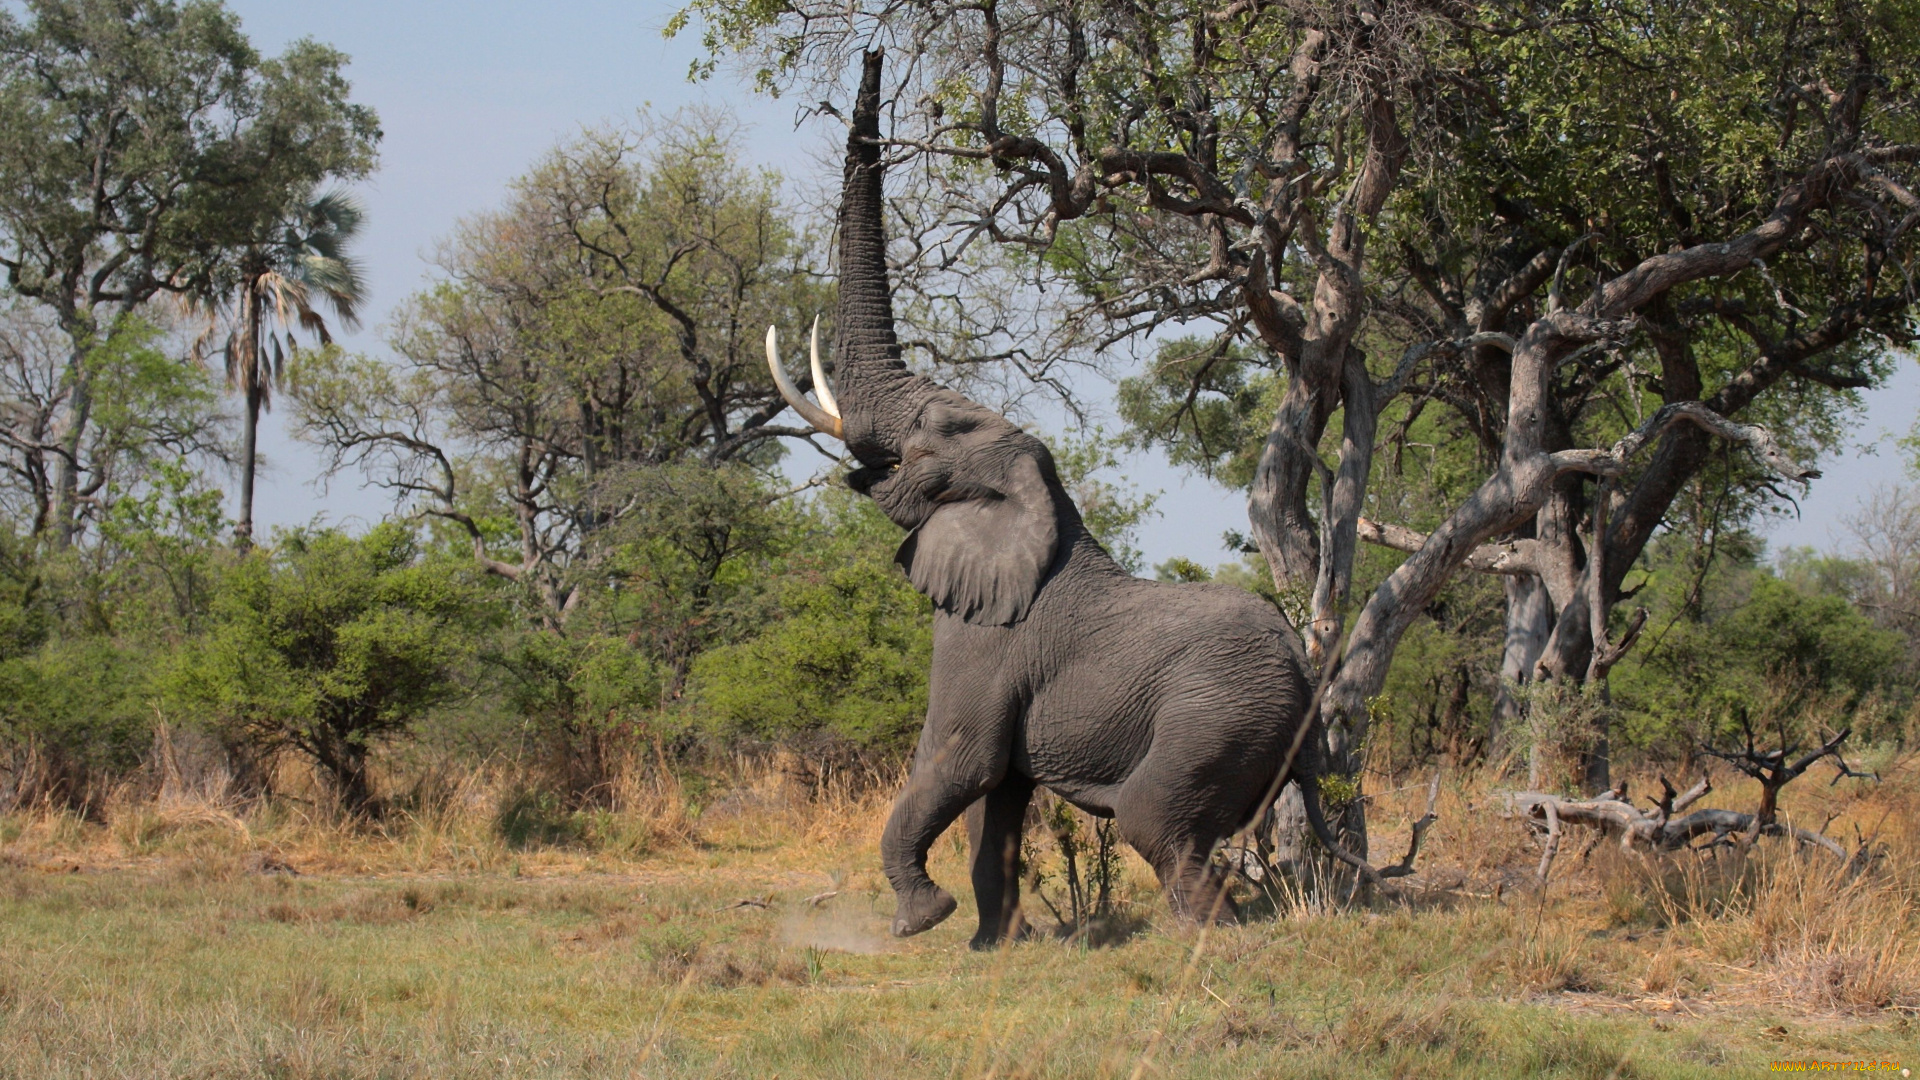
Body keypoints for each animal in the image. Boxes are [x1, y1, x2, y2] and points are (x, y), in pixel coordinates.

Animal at [764, 52, 1367, 941]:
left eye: (935, 435)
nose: (874, 52)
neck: (1037, 502)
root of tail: (1303, 669)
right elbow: (998, 802)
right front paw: (995, 945)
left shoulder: (985, 639)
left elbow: (960, 759)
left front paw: (921, 921)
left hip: (1216, 718)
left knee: (1158, 822)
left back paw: (1199, 937)